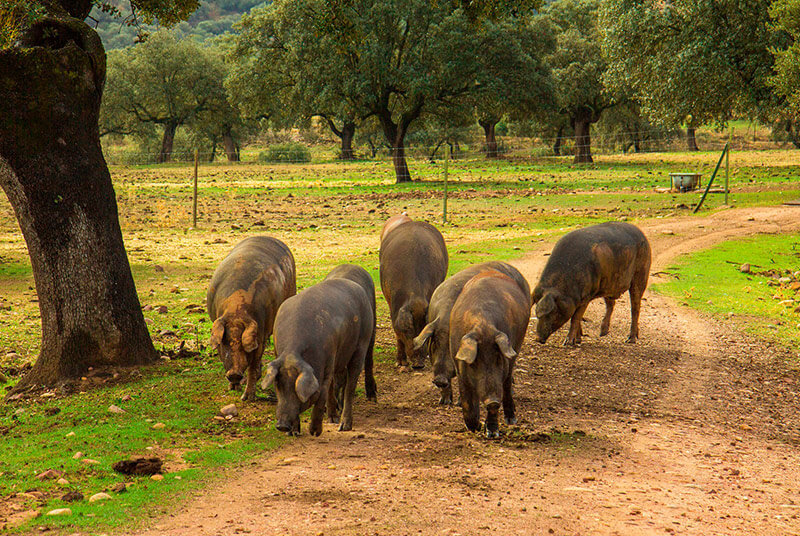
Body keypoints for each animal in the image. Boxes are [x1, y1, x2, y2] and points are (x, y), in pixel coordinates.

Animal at [207, 236, 296, 401]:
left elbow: (253, 365)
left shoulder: (260, 333)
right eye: (225, 343)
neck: (236, 311)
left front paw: (246, 398)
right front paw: (232, 388)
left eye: (243, 344)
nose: (234, 374)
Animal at [262, 276, 374, 436]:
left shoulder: (328, 358)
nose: (282, 425)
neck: (292, 351)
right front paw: (294, 433)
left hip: (363, 341)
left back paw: (343, 426)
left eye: (296, 388)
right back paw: (333, 419)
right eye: (278, 385)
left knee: (350, 385)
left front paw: (314, 432)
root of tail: (357, 287)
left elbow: (322, 394)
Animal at [449, 269, 531, 438]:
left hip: (517, 346)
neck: (483, 324)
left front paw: (492, 433)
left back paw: (511, 420)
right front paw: (476, 427)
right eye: (474, 363)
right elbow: (467, 402)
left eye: (498, 359)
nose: (492, 400)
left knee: (507, 383)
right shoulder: (458, 366)